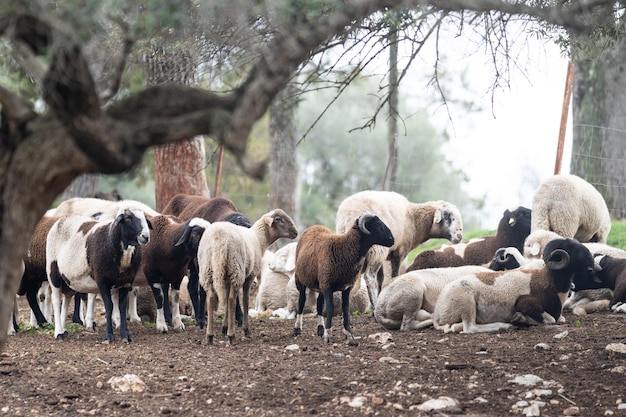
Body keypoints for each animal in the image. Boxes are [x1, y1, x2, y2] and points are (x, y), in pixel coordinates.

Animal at [46, 208, 151, 342]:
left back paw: (64, 330)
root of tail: (62, 219)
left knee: (66, 300)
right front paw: (108, 336)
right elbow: (109, 306)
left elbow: (122, 307)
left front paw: (125, 335)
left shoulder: (126, 282)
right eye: (128, 218)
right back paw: (58, 332)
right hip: (52, 270)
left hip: (68, 279)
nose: (145, 236)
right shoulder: (102, 281)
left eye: (145, 219)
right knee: (55, 300)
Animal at [161, 194, 251, 328]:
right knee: (166, 285)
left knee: (191, 287)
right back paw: (170, 316)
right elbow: (203, 290)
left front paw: (239, 317)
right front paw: (202, 320)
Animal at [199, 208, 298, 344]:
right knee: (232, 300)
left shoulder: (226, 278)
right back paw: (232, 335)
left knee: (211, 298)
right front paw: (245, 330)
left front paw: (224, 328)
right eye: (278, 219)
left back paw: (209, 336)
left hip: (208, 270)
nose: (295, 232)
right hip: (236, 268)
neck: (259, 239)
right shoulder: (249, 276)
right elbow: (245, 301)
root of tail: (218, 240)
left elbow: (226, 301)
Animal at [428, 237, 596, 332]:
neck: (550, 283)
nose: (592, 261)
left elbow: (560, 319)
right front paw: (520, 319)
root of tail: (438, 311)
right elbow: (550, 319)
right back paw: (504, 325)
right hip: (466, 301)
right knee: (470, 328)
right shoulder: (524, 303)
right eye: (572, 249)